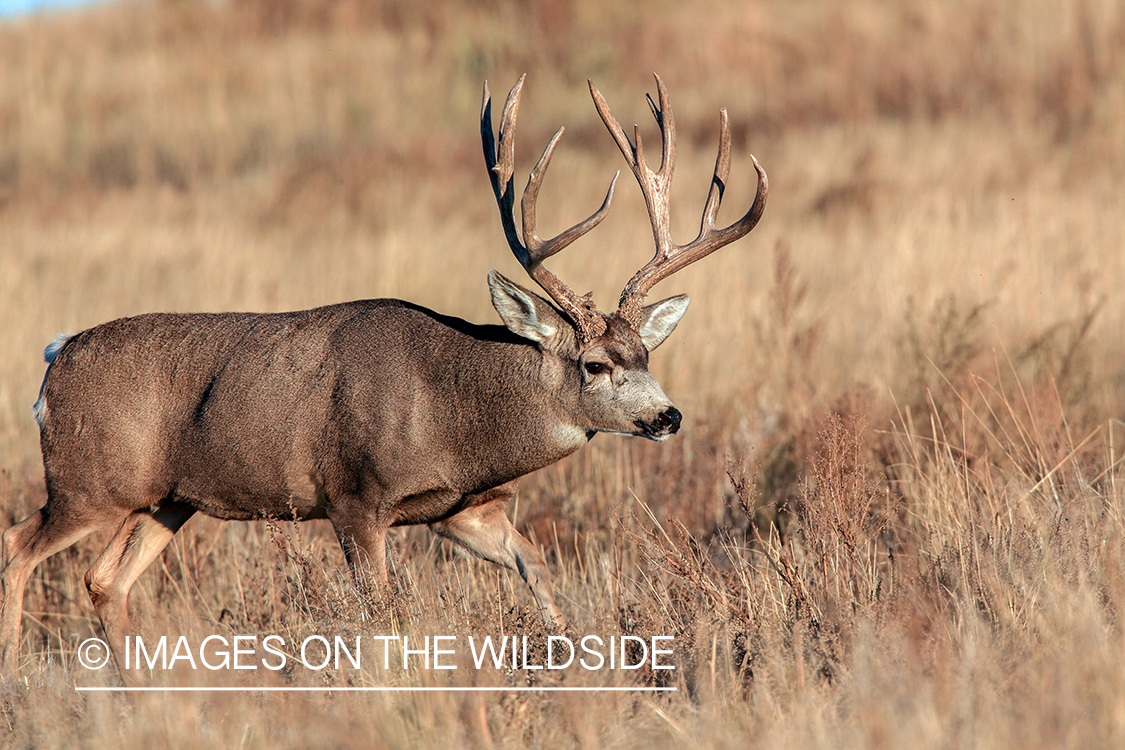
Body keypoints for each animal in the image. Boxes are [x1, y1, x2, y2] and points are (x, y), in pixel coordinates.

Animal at [0, 73, 765, 679]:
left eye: (646, 355)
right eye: (594, 363)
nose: (667, 416)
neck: (451, 411)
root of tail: (55, 357)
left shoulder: (462, 508)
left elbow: (538, 568)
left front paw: (570, 659)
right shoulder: (354, 497)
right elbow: (383, 618)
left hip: (164, 499)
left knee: (103, 580)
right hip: (87, 480)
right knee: (17, 547)